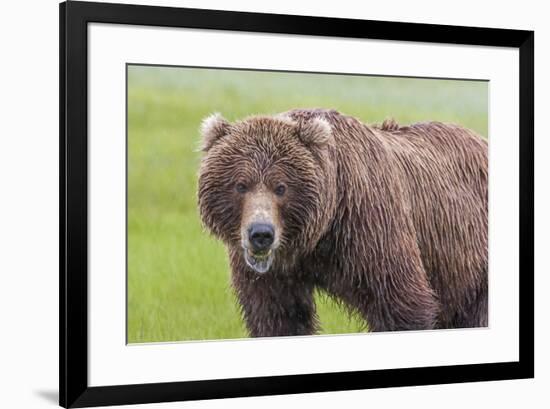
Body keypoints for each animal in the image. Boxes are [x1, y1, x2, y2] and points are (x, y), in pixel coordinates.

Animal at [199, 108, 492, 334]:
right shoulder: (273, 274)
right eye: (241, 185)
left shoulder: (369, 225)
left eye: (281, 187)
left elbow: (401, 303)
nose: (261, 234)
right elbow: (277, 316)